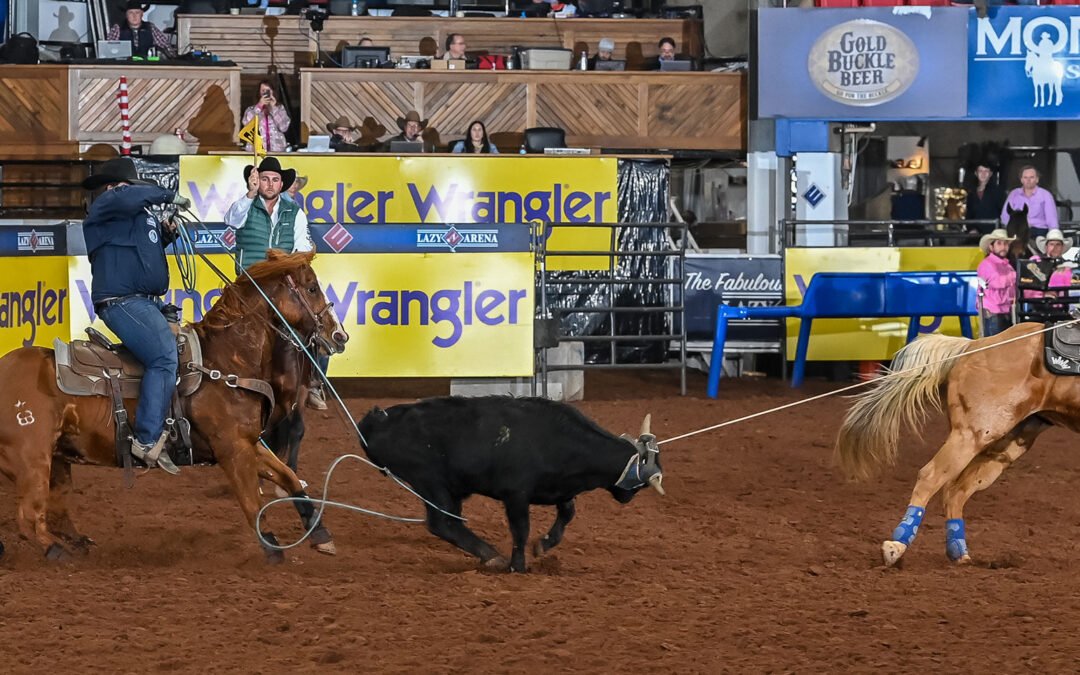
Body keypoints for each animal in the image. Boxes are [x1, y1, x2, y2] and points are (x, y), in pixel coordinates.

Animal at [0, 250, 348, 562]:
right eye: (311, 287)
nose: (339, 335)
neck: (225, 360)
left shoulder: (247, 442)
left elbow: (289, 478)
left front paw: (320, 534)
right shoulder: (232, 449)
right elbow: (253, 504)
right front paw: (274, 551)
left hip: (58, 459)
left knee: (55, 513)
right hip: (33, 459)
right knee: (29, 518)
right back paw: (59, 552)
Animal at [835, 324, 1077, 567]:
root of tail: (974, 345)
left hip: (1005, 444)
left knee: (956, 490)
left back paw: (958, 550)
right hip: (972, 433)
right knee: (931, 477)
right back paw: (897, 546)